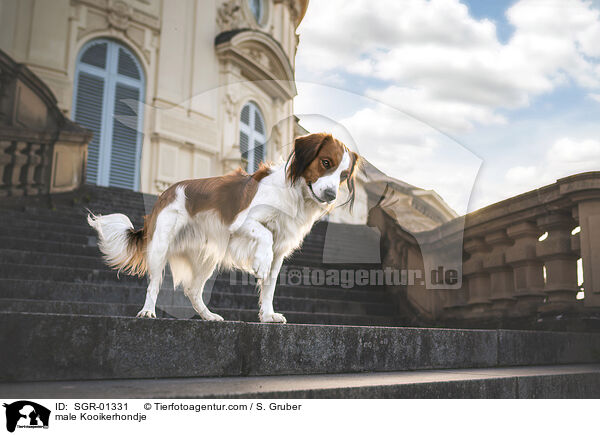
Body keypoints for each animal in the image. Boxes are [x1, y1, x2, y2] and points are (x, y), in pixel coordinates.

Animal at [86, 133, 358, 324]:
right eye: (325, 163)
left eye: (343, 176)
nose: (332, 195)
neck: (294, 194)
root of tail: (167, 192)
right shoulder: (242, 223)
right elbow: (265, 236)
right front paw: (260, 262)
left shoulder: (280, 250)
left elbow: (269, 285)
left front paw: (268, 315)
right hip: (160, 248)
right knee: (154, 283)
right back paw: (147, 311)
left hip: (207, 256)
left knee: (193, 290)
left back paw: (208, 316)